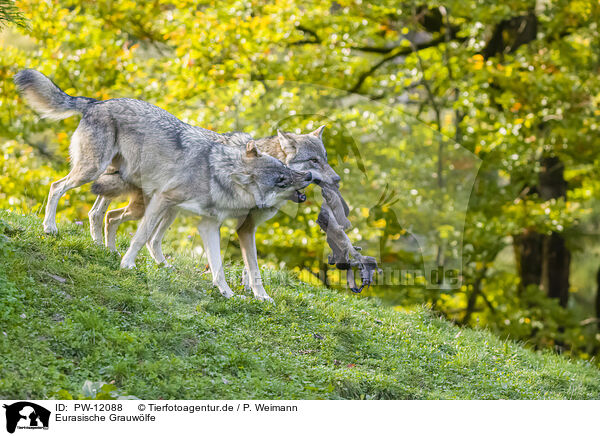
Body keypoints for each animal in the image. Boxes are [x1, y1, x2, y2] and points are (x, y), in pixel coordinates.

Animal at [14, 69, 314, 300]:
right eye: (281, 180)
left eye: (286, 169)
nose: (310, 177)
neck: (216, 175)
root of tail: (96, 102)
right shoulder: (163, 200)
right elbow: (141, 237)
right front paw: (127, 265)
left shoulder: (207, 225)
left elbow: (217, 267)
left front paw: (228, 294)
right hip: (93, 173)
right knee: (57, 187)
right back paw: (51, 228)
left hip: (118, 185)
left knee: (100, 213)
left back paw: (104, 249)